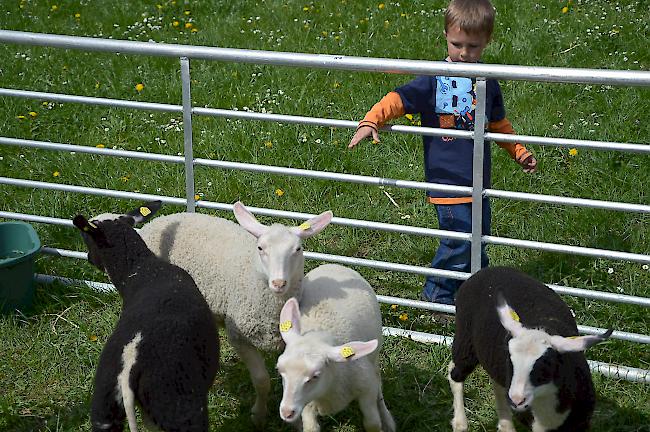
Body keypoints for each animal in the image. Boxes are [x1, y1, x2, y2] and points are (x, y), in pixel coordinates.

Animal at [73, 202, 219, 432]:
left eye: (86, 238)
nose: (88, 258)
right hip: (178, 405)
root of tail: (130, 366)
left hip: (104, 410)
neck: (142, 269)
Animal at [274, 264, 392, 432]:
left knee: (378, 385)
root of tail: (334, 265)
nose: (287, 412)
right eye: (279, 370)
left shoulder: (366, 388)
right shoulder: (307, 404)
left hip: (374, 358)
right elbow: (311, 428)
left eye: (315, 375)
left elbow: (372, 423)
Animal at [448, 266, 612, 432]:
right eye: (510, 360)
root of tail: (487, 270)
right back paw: (460, 423)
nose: (517, 400)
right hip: (466, 342)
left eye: (547, 364)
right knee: (454, 373)